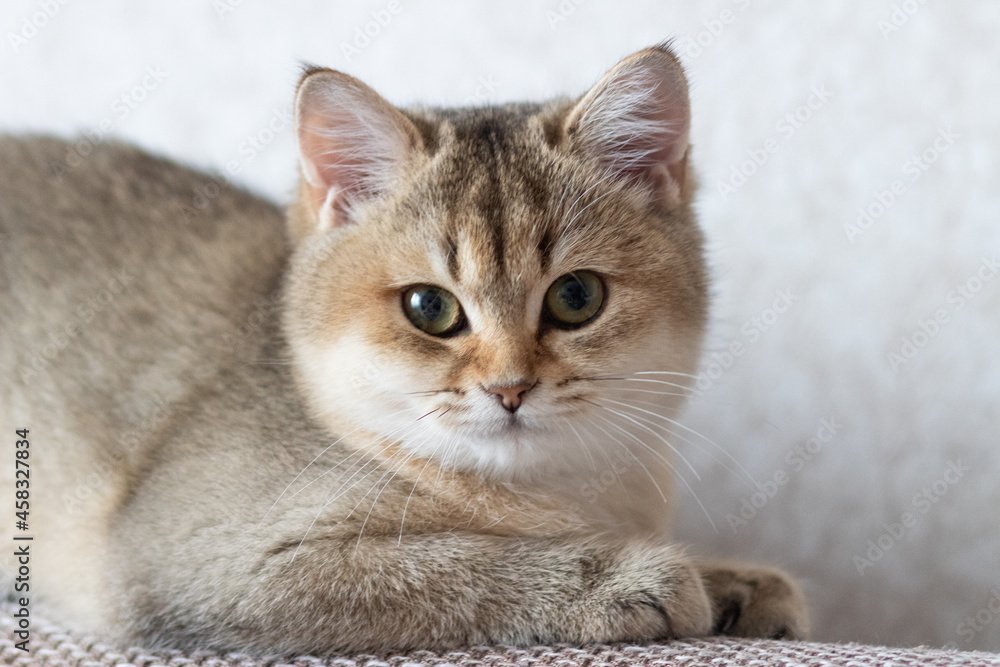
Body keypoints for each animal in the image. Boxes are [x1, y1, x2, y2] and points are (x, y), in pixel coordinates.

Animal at [0, 44, 808, 656]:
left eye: (576, 298)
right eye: (430, 308)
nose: (511, 388)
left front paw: (735, 582)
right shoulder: (196, 563)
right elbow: (447, 566)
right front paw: (634, 579)